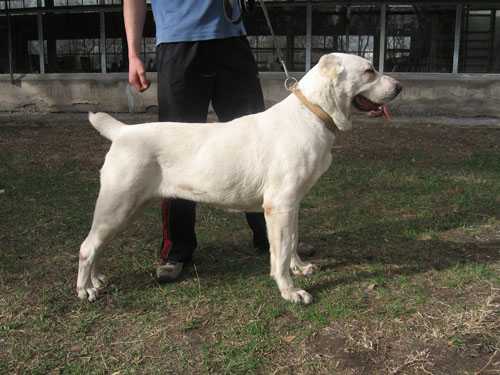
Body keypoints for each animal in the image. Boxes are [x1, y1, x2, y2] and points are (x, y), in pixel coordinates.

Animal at [76, 53, 400, 306]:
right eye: (369, 70)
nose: (399, 86)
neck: (313, 112)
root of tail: (122, 131)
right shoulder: (279, 205)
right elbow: (280, 253)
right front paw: (290, 291)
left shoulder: (292, 205)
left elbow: (292, 241)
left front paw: (299, 267)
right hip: (118, 204)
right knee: (87, 247)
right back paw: (86, 290)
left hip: (124, 208)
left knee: (97, 245)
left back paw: (97, 279)